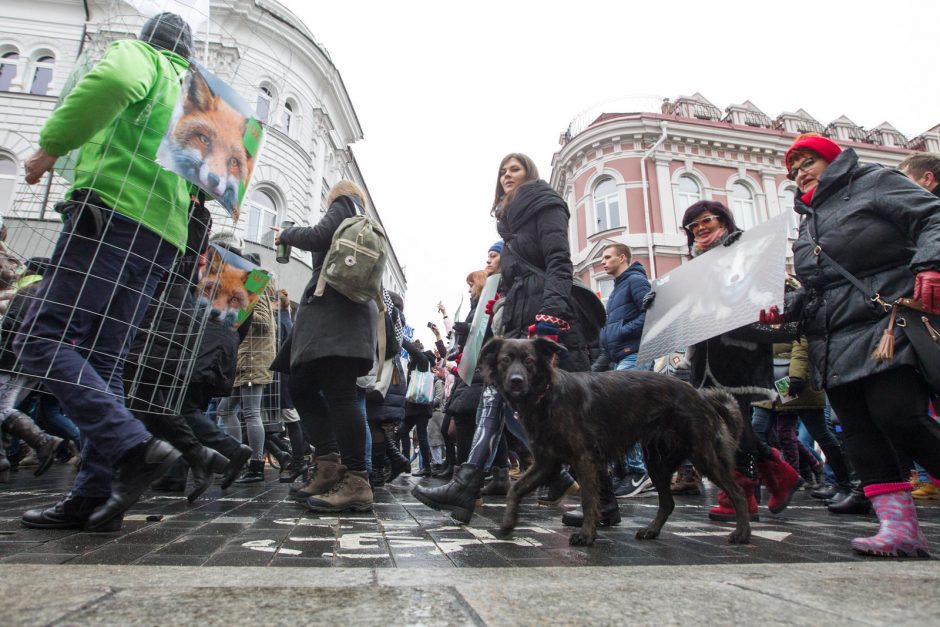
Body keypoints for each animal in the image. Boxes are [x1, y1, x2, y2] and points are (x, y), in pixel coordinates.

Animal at [482, 336, 752, 548]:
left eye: (529, 361)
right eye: (506, 360)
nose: (516, 380)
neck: (547, 396)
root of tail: (700, 394)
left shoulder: (584, 459)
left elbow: (589, 499)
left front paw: (587, 535)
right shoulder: (546, 462)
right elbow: (515, 489)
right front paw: (508, 522)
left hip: (703, 456)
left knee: (737, 492)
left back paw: (742, 533)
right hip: (658, 463)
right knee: (668, 503)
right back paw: (652, 530)